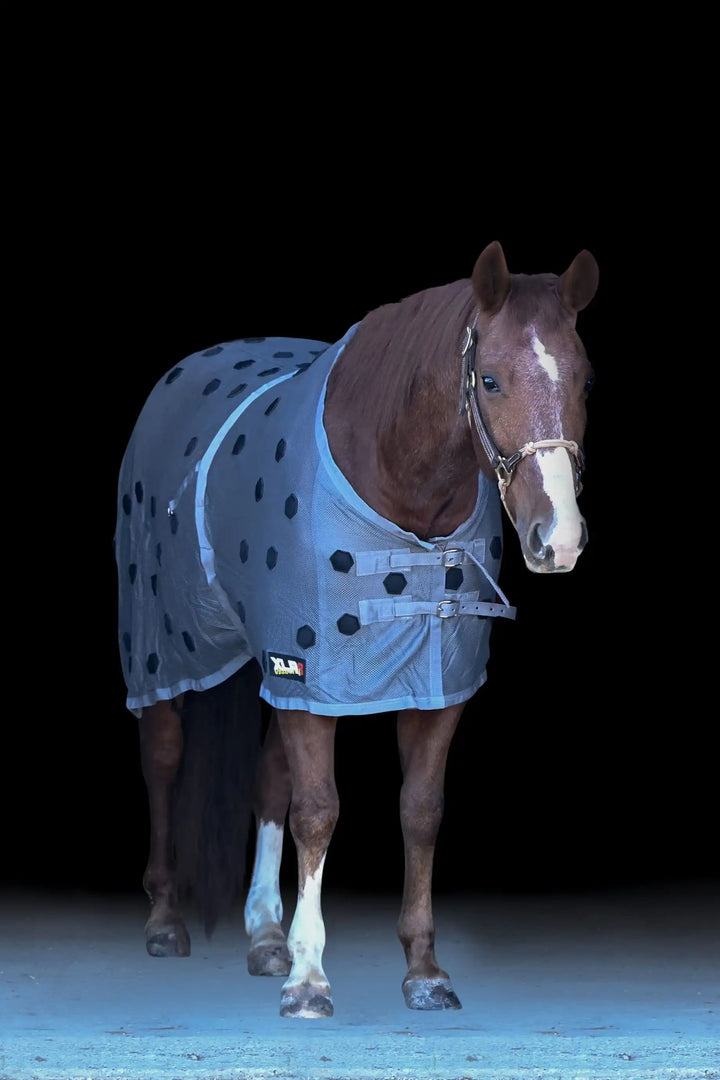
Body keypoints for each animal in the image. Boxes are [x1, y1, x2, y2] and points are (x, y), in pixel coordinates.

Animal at [115, 240, 599, 1019]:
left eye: (585, 380)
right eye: (490, 379)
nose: (558, 539)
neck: (397, 492)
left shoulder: (435, 685)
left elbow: (419, 811)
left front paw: (424, 969)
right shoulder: (310, 672)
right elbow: (318, 811)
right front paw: (309, 978)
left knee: (266, 781)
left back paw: (263, 934)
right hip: (168, 648)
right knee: (162, 757)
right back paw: (165, 920)